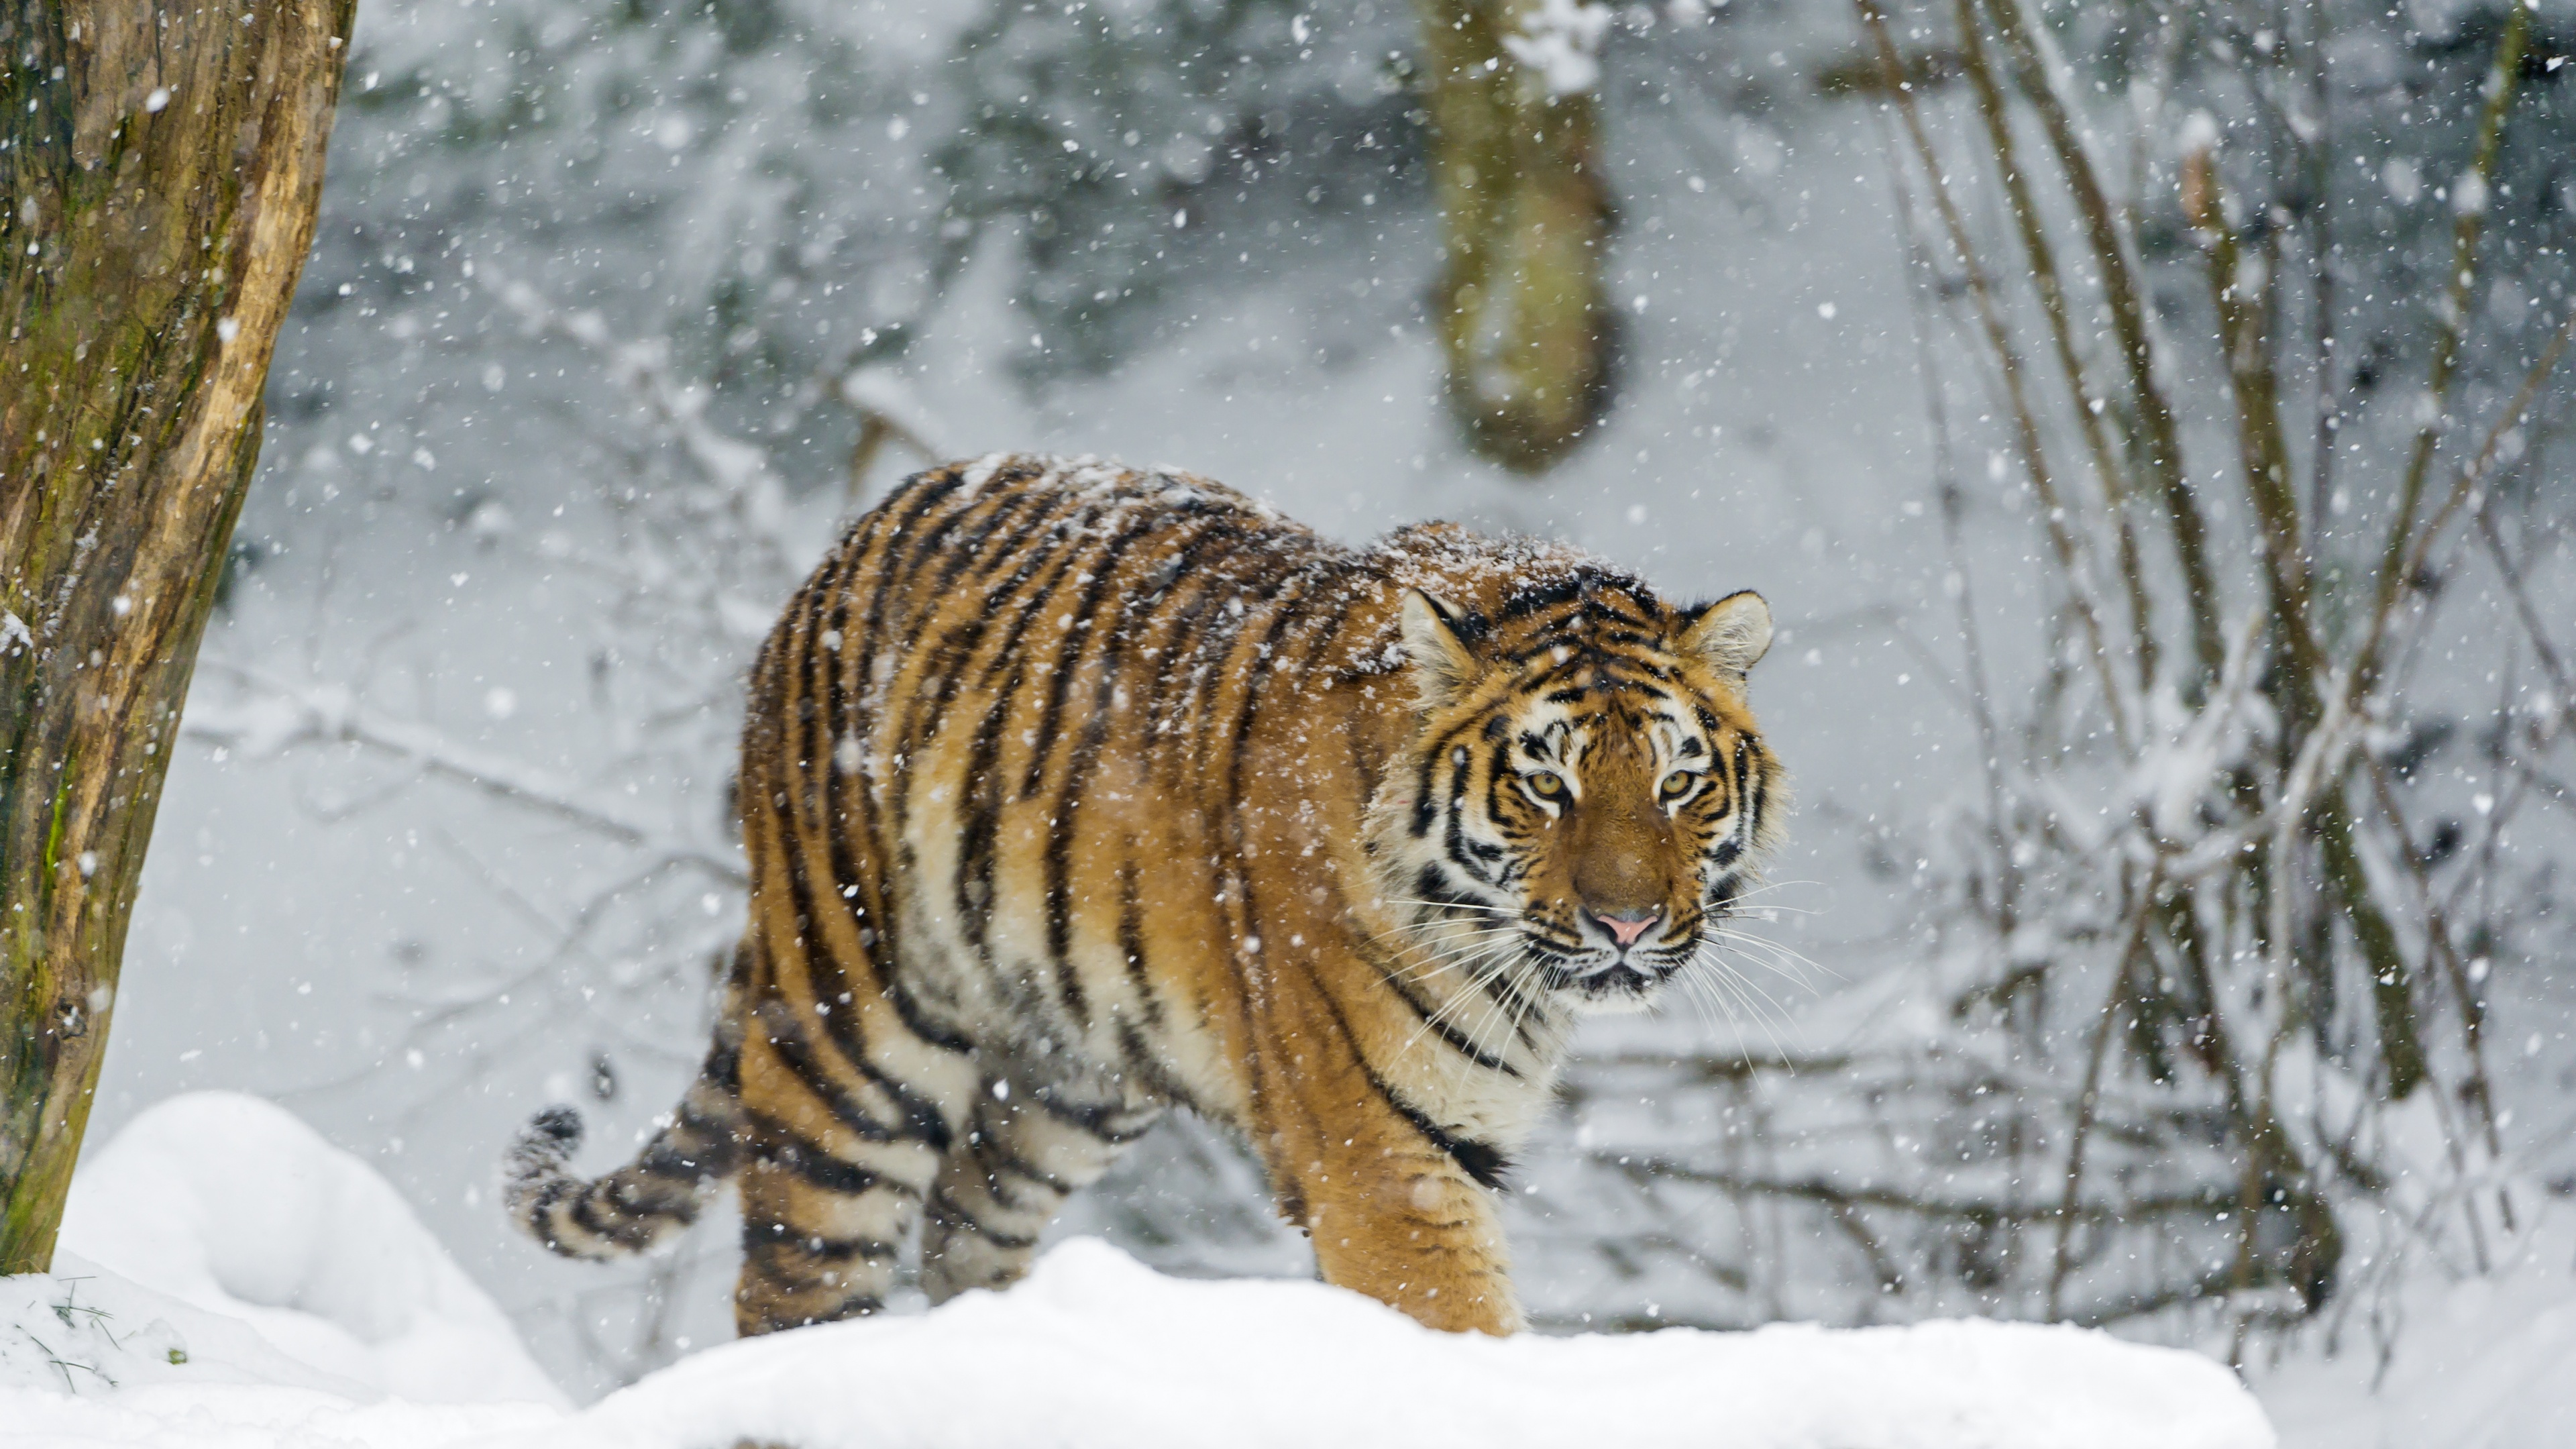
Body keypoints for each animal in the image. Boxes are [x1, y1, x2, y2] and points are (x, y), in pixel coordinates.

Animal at [504, 453, 1782, 1338]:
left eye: (1677, 783)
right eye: (1544, 784)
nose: (1626, 922)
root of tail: (836, 555)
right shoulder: (1386, 1165)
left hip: (1059, 1085)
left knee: (963, 1232)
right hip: (851, 1048)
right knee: (793, 1289)